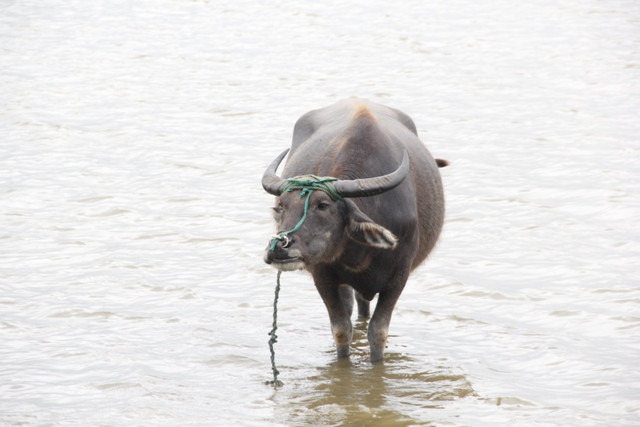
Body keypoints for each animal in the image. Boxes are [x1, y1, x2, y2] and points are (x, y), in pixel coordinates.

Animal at [262, 97, 447, 363]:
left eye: (323, 205)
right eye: (281, 207)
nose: (278, 248)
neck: (360, 253)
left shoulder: (399, 276)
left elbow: (378, 332)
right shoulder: (323, 275)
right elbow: (341, 330)